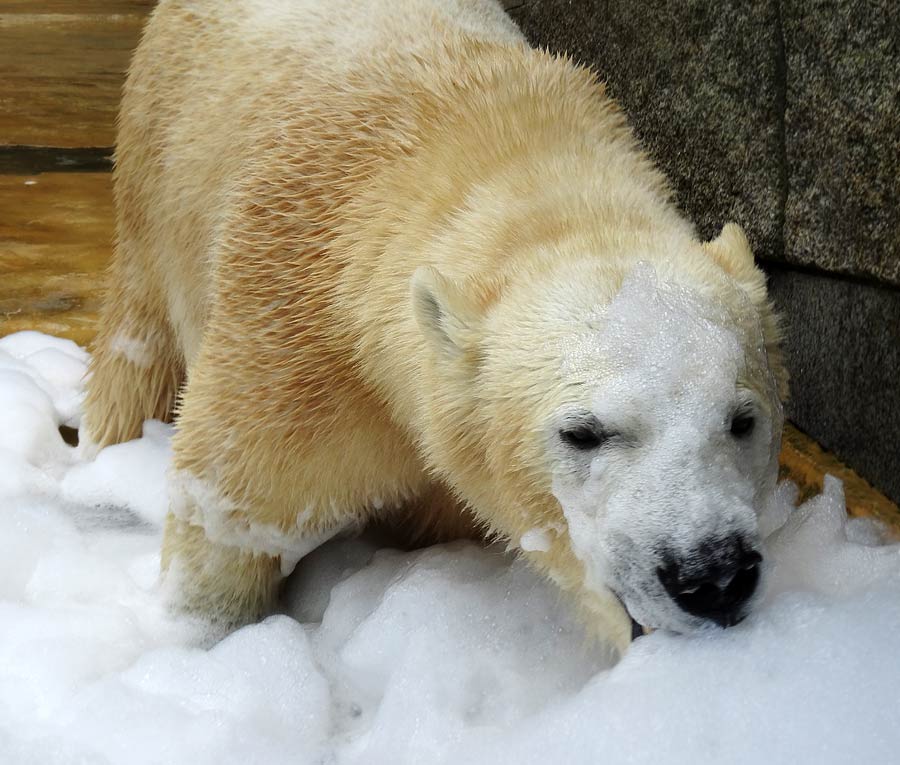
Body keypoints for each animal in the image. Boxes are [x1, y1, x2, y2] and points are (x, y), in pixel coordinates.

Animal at [84, 0, 788, 652]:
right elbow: (235, 503)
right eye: (582, 433)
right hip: (156, 179)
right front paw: (199, 633)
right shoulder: (291, 339)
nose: (714, 576)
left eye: (742, 420)